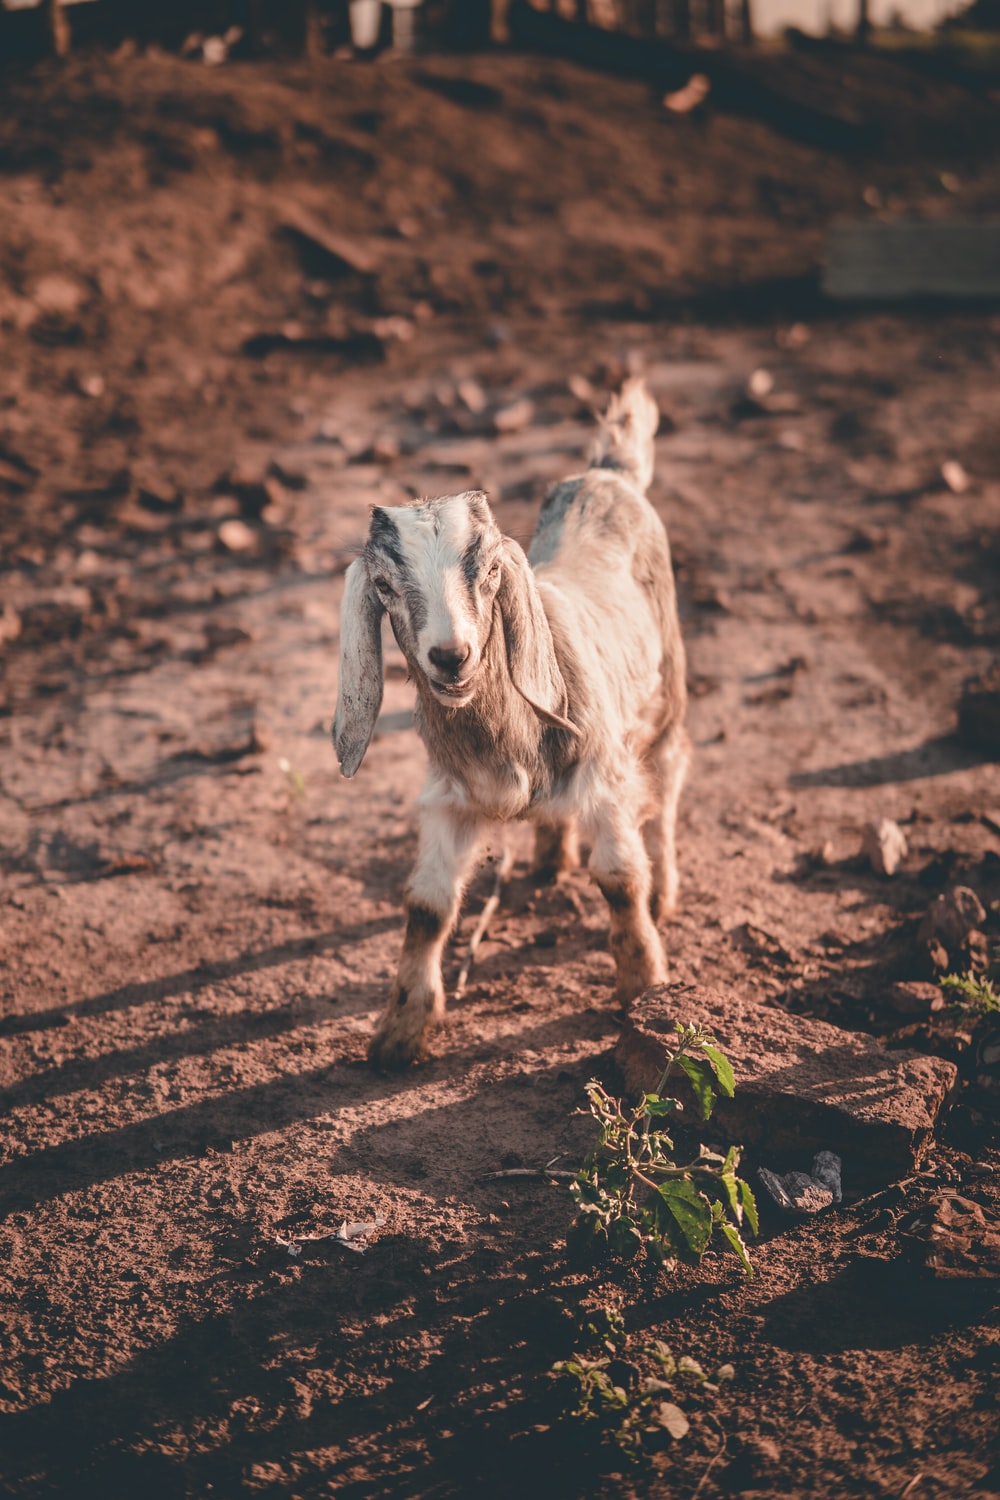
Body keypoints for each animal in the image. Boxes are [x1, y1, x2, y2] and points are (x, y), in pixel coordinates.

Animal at [333, 378, 689, 1069]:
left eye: (491, 571)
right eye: (384, 586)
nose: (451, 656)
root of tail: (609, 474)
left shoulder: (607, 779)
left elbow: (620, 880)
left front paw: (644, 986)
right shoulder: (449, 799)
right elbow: (427, 905)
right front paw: (398, 1032)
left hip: (667, 690)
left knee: (666, 784)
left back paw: (665, 889)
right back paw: (550, 855)